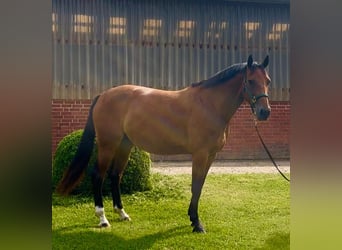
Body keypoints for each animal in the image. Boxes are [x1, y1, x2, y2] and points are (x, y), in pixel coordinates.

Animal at [56, 54, 272, 232]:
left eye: (268, 81)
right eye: (250, 81)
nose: (264, 112)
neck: (209, 105)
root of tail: (103, 95)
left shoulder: (211, 155)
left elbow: (200, 186)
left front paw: (193, 218)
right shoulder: (200, 154)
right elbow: (195, 186)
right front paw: (196, 223)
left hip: (125, 145)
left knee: (115, 175)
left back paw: (122, 213)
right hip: (108, 144)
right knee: (97, 175)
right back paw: (102, 218)